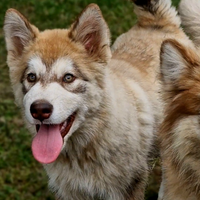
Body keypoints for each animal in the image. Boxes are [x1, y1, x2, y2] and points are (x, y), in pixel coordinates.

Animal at [2, 0, 191, 199]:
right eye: (31, 77)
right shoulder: (70, 191)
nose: (39, 110)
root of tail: (155, 21)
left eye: (68, 77)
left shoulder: (126, 188)